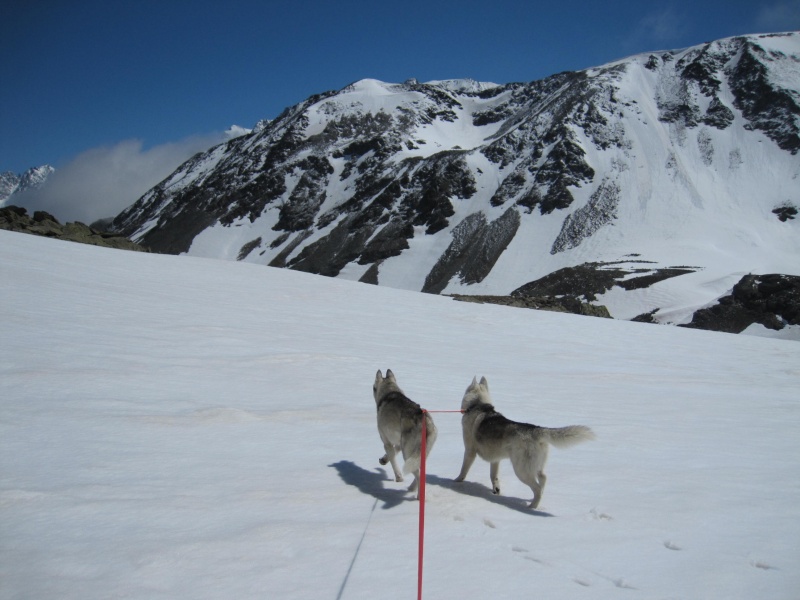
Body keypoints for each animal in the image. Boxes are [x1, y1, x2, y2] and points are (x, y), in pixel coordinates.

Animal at [454, 378, 592, 508]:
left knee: (537, 488)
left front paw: (456, 481)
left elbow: (463, 470)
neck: (478, 405)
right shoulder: (495, 459)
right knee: (543, 479)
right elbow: (494, 476)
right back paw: (533, 500)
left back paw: (532, 507)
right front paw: (496, 490)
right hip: (536, 466)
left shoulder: (470, 451)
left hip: (521, 470)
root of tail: (536, 429)